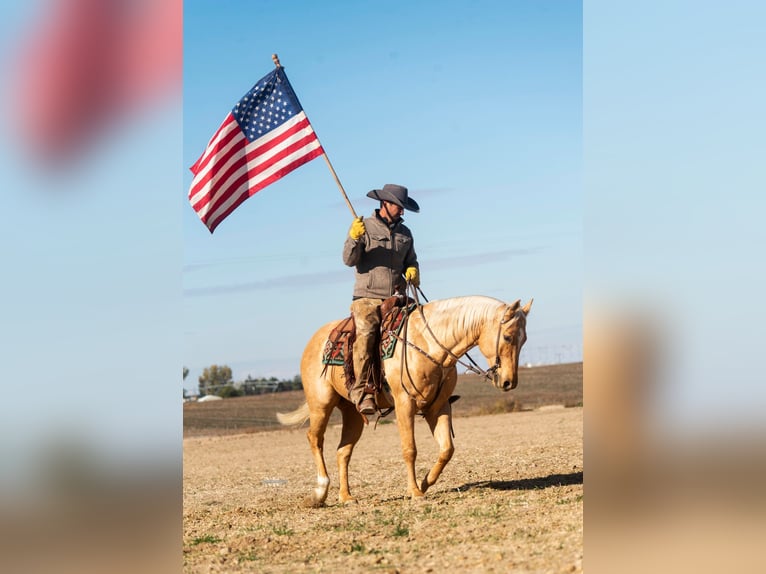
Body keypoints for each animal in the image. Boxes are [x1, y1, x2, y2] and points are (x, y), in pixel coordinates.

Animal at [278, 294, 536, 506]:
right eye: (508, 336)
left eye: (524, 340)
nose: (508, 382)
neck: (428, 344)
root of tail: (315, 340)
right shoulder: (404, 404)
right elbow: (409, 449)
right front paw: (415, 492)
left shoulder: (438, 407)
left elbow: (447, 449)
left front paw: (425, 482)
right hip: (320, 404)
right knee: (315, 439)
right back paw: (320, 492)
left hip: (353, 412)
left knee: (343, 451)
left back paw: (346, 497)